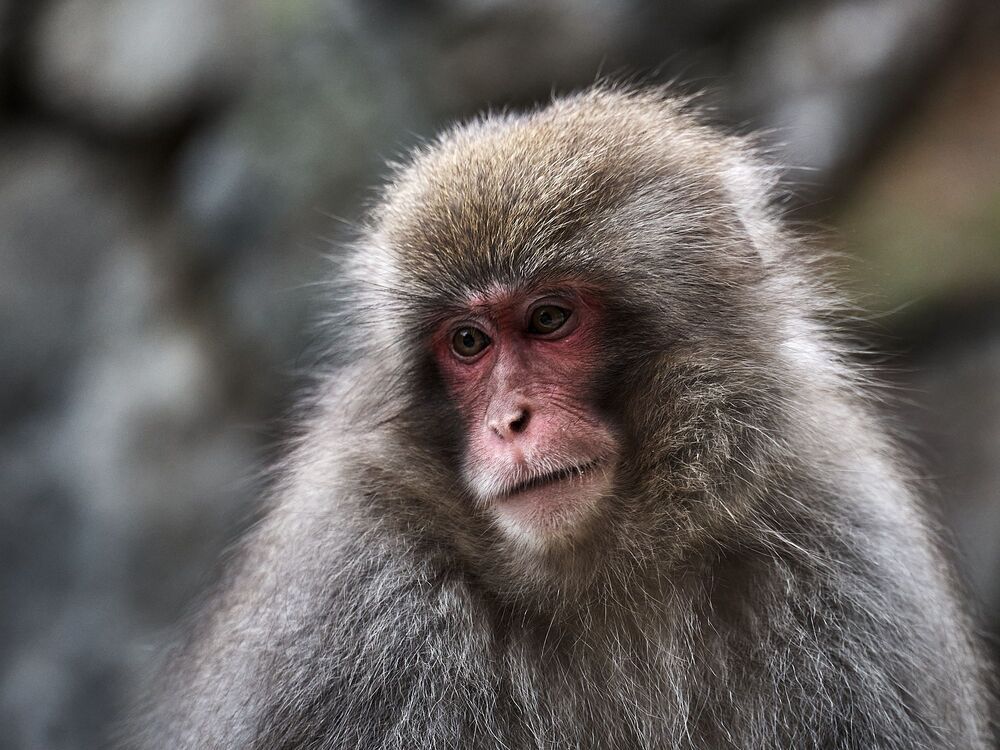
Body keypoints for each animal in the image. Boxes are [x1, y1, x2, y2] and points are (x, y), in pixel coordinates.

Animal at [135, 88, 993, 749]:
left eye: (549, 319)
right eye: (469, 342)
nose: (511, 423)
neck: (604, 577)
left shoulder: (845, 555)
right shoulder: (349, 604)